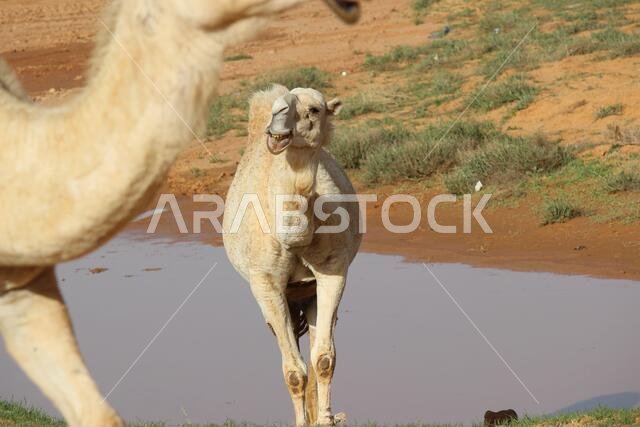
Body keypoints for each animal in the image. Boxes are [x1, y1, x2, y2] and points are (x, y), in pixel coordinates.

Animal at [223, 85, 362, 426]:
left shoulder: (333, 271)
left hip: (307, 293)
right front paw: (303, 421)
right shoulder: (266, 283)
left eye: (314, 109)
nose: (277, 121)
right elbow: (293, 372)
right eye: (279, 106)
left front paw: (325, 419)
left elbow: (324, 358)